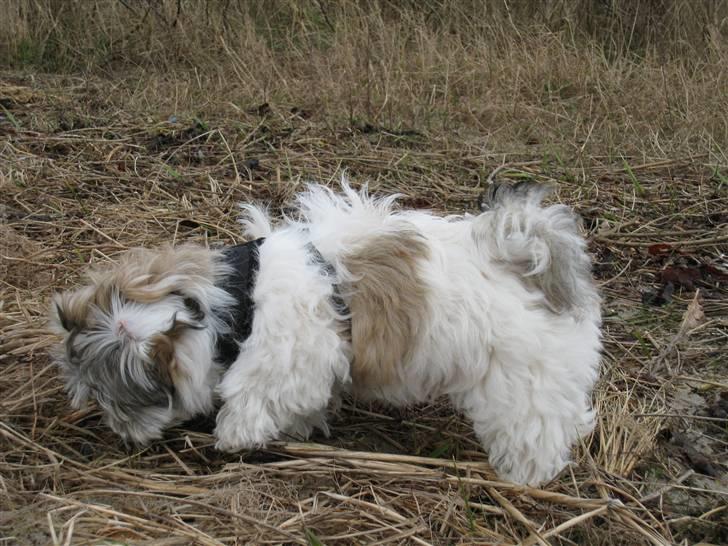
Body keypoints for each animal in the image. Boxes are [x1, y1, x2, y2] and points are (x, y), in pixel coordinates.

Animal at [49, 181, 596, 482]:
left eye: (115, 398)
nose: (121, 435)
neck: (240, 298)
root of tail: (524, 255)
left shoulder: (282, 356)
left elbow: (252, 397)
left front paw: (234, 436)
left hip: (524, 380)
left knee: (537, 427)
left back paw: (525, 474)